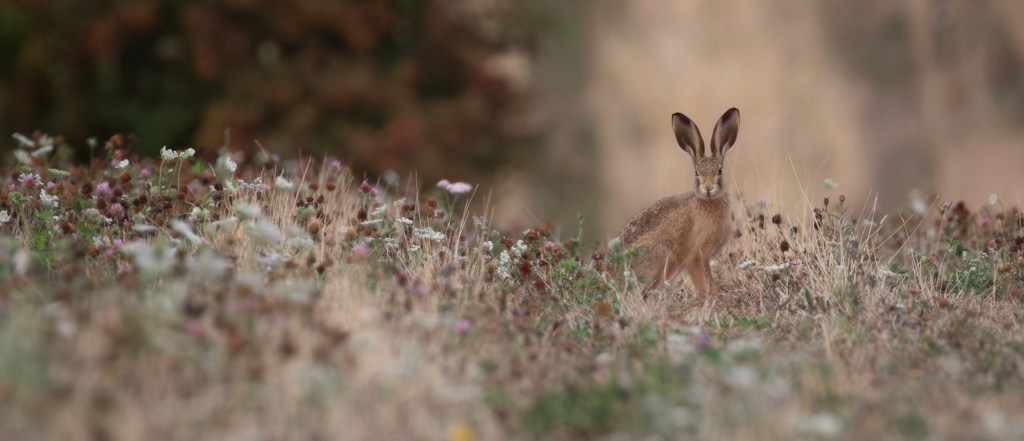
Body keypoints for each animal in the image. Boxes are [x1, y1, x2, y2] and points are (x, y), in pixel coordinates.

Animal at [619, 108, 740, 295]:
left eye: (720, 171)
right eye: (696, 173)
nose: (708, 188)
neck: (706, 201)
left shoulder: (705, 259)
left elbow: (710, 279)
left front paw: (716, 292)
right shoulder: (693, 257)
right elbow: (701, 282)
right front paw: (709, 296)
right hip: (662, 255)